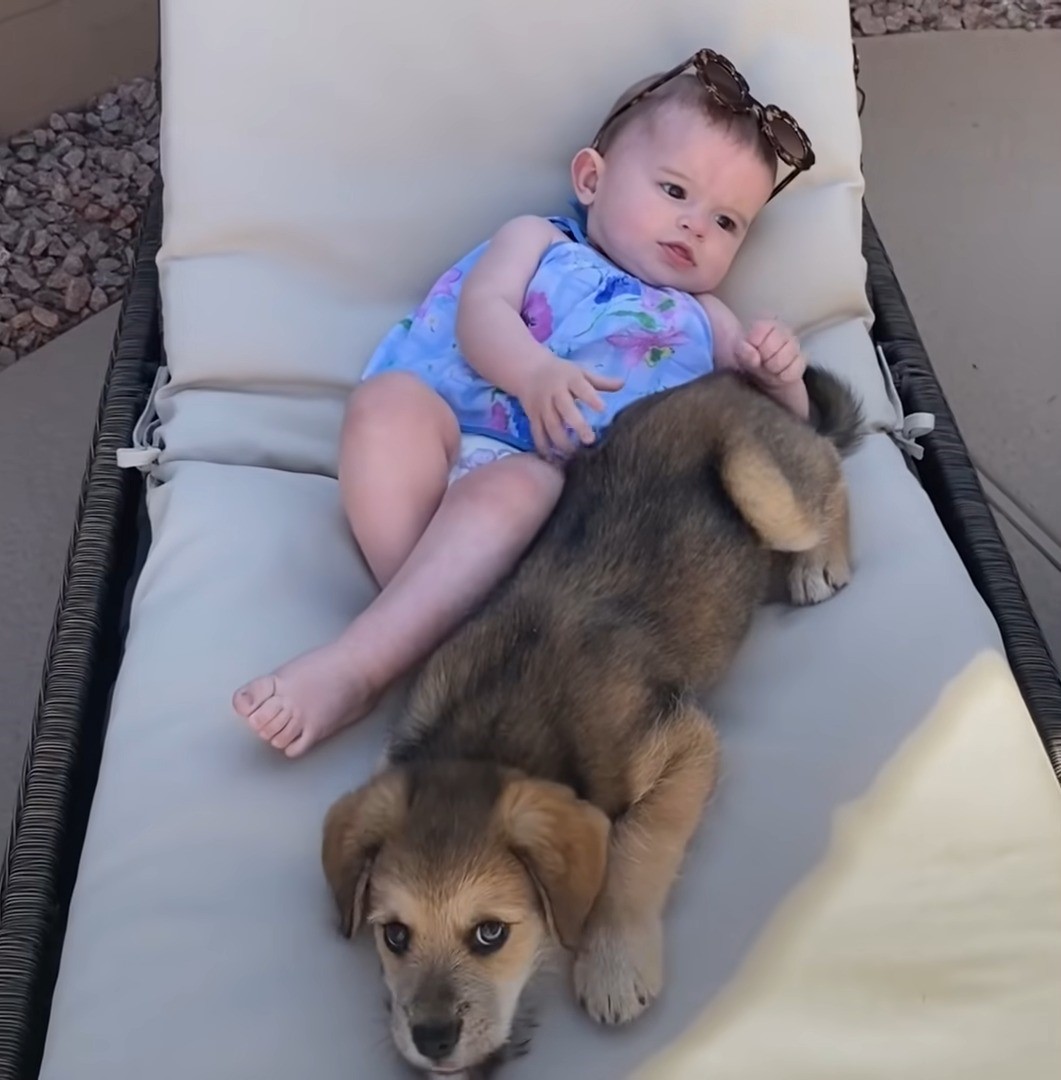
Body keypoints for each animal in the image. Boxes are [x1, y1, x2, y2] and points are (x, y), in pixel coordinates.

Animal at [321, 369, 864, 1071]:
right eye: (393, 936)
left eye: (490, 934)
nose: (432, 1042)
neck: (491, 732)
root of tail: (725, 378)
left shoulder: (685, 742)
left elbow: (638, 846)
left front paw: (613, 961)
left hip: (759, 479)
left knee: (830, 475)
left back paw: (820, 561)